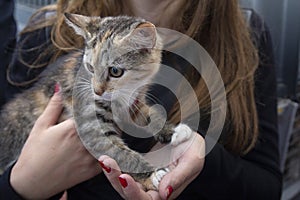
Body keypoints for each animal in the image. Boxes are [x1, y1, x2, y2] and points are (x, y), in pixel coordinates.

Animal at [0, 13, 192, 190]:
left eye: (115, 71)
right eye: (90, 68)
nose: (97, 91)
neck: (126, 92)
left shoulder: (133, 102)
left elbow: (151, 113)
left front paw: (174, 131)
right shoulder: (90, 123)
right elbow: (121, 153)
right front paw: (153, 175)